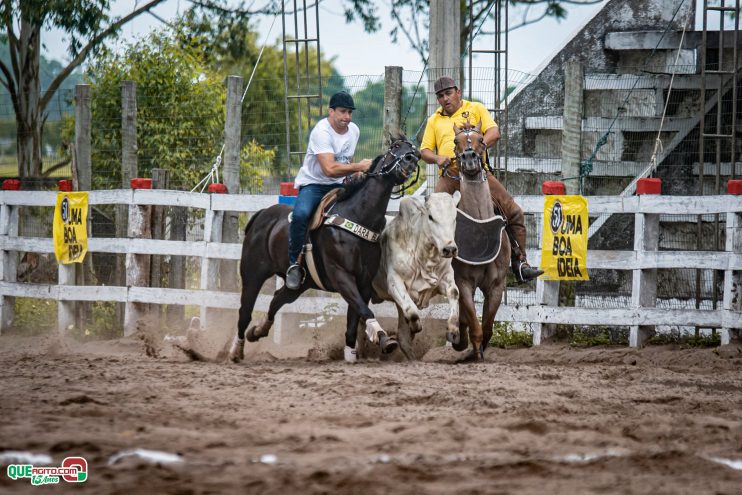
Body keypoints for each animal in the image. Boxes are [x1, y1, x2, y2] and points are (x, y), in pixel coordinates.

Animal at [230, 138, 422, 362]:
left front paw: (352, 353)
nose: (410, 160)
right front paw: (383, 338)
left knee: (277, 299)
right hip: (252, 274)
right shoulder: (341, 276)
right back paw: (236, 350)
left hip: (299, 285)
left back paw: (257, 331)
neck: (357, 216)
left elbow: (354, 318)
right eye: (395, 148)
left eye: (416, 152)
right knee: (245, 312)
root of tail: (261, 215)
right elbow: (364, 310)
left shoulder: (364, 281)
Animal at [374, 192, 462, 358]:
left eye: (455, 217)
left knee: (402, 338)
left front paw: (453, 331)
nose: (449, 249)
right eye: (431, 217)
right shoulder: (394, 283)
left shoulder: (444, 278)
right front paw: (416, 326)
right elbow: (412, 311)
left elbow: (454, 292)